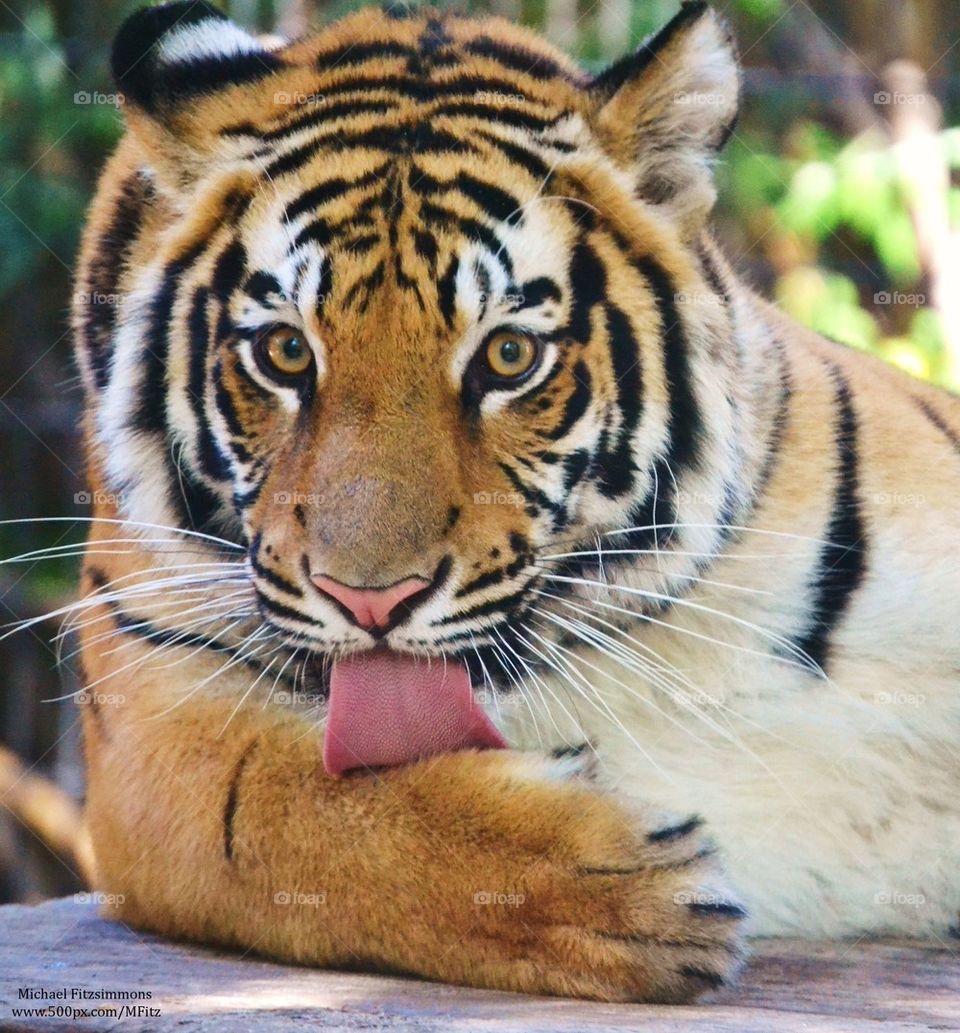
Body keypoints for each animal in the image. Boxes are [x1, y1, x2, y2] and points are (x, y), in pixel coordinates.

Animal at [67, 0, 960, 1004]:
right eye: (286, 353)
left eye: (508, 356)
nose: (369, 601)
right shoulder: (149, 720)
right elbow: (295, 815)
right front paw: (633, 888)